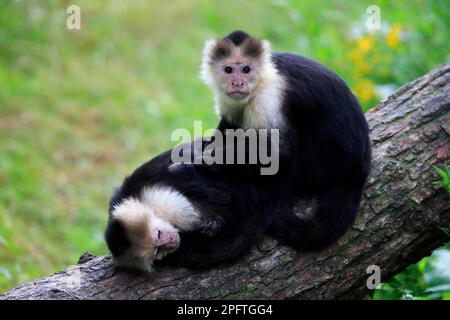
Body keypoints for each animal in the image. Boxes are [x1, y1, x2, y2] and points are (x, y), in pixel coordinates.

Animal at [199, 30, 370, 250]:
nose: (238, 83)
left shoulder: (268, 97)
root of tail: (360, 166)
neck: (261, 80)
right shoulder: (228, 97)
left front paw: (211, 160)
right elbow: (231, 123)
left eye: (246, 69)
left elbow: (280, 152)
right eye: (228, 70)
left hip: (326, 163)